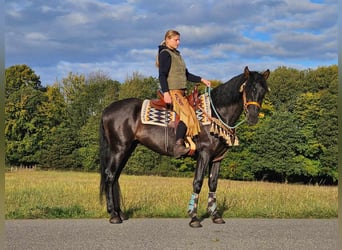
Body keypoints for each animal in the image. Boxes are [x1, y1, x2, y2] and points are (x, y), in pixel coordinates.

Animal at [99, 66, 270, 227]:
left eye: (263, 90)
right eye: (248, 88)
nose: (253, 117)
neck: (216, 114)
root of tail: (107, 109)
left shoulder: (217, 158)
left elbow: (213, 183)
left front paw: (215, 216)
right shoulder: (204, 154)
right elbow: (198, 182)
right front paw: (194, 217)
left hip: (128, 149)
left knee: (115, 177)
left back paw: (119, 213)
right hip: (118, 148)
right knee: (110, 176)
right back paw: (113, 215)